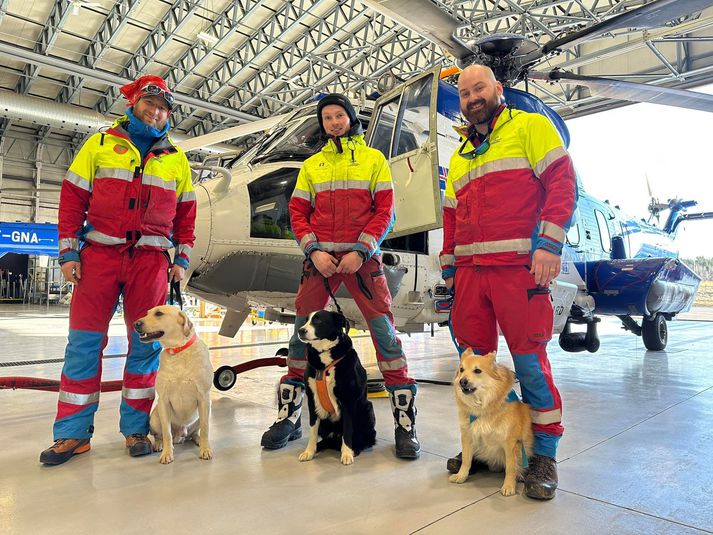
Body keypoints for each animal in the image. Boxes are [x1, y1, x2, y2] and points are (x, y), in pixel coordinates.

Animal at [133, 306, 211, 464]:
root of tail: (181, 434)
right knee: (159, 435)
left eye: (159, 313)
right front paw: (167, 454)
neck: (178, 351)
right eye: (147, 313)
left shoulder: (204, 398)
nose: (135, 324)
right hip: (154, 419)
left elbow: (205, 429)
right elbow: (166, 432)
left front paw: (205, 450)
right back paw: (159, 444)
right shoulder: (163, 401)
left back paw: (198, 440)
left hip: (205, 413)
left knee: (196, 432)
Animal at [450, 350, 528, 496]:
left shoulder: (510, 443)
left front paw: (509, 485)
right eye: (461, 369)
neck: (483, 408)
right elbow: (466, 460)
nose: (462, 381)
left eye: (477, 370)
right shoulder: (467, 436)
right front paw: (461, 476)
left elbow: (510, 467)